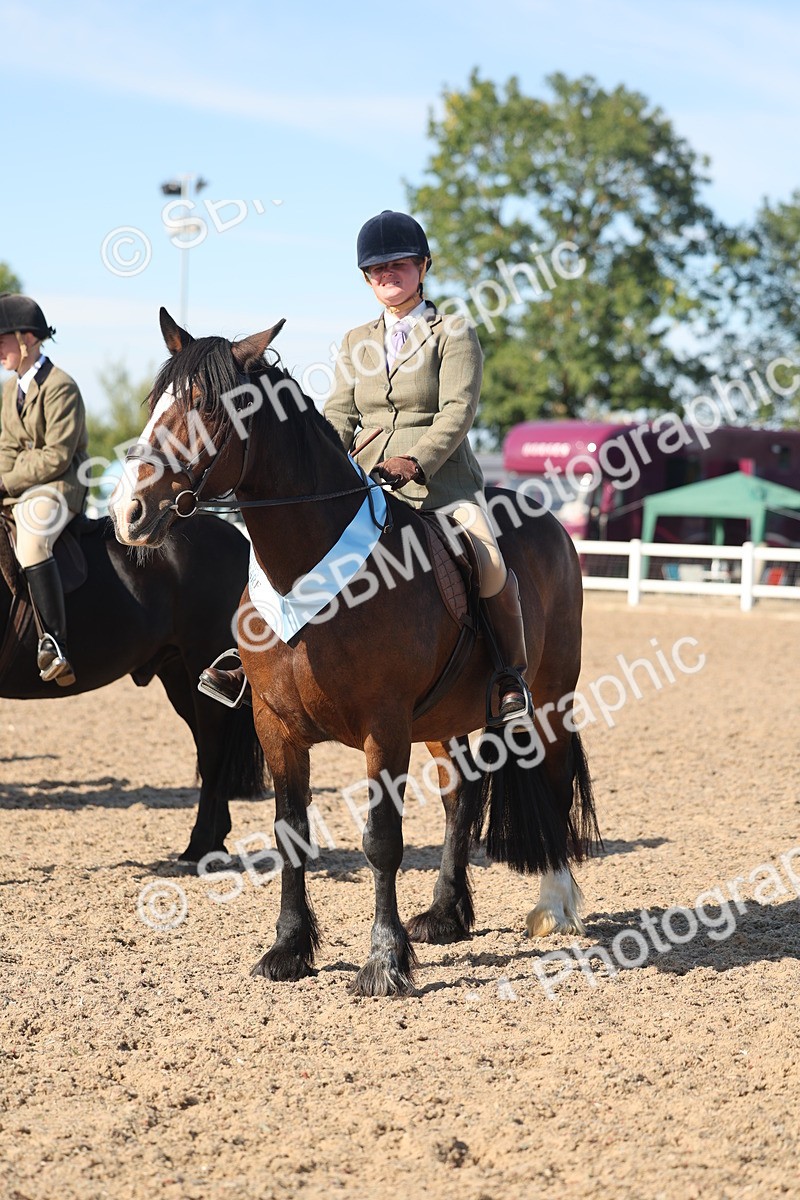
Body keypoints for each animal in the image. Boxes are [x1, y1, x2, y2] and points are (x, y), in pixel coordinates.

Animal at [110, 308, 600, 996]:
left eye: (207, 406)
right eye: (156, 404)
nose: (128, 513)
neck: (309, 569)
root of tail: (549, 518)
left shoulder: (383, 727)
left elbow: (382, 841)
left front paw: (384, 961)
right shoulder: (276, 725)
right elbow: (290, 833)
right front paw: (289, 949)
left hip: (549, 699)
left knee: (551, 782)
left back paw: (555, 905)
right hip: (443, 719)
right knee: (462, 796)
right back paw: (446, 914)